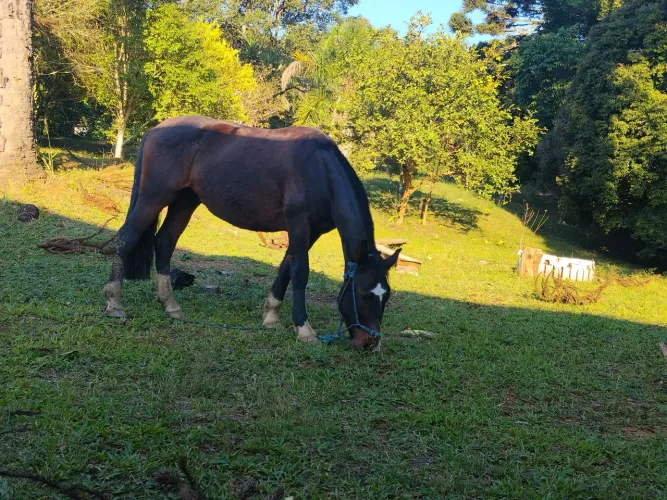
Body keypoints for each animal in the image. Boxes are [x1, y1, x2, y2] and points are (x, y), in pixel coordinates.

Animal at [103, 115, 401, 350]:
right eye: (363, 293)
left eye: (386, 295)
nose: (370, 343)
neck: (320, 169)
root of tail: (155, 130)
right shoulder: (299, 225)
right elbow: (300, 273)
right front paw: (304, 330)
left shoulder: (311, 231)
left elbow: (286, 268)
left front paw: (271, 317)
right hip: (153, 198)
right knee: (126, 241)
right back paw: (114, 305)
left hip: (184, 201)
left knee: (164, 242)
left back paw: (171, 306)